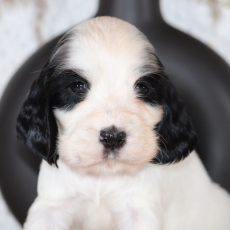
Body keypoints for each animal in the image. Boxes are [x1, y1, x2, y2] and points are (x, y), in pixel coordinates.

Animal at [16, 16, 230, 230]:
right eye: (78, 86)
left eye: (142, 87)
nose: (112, 137)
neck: (102, 177)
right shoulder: (51, 208)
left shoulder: (139, 211)